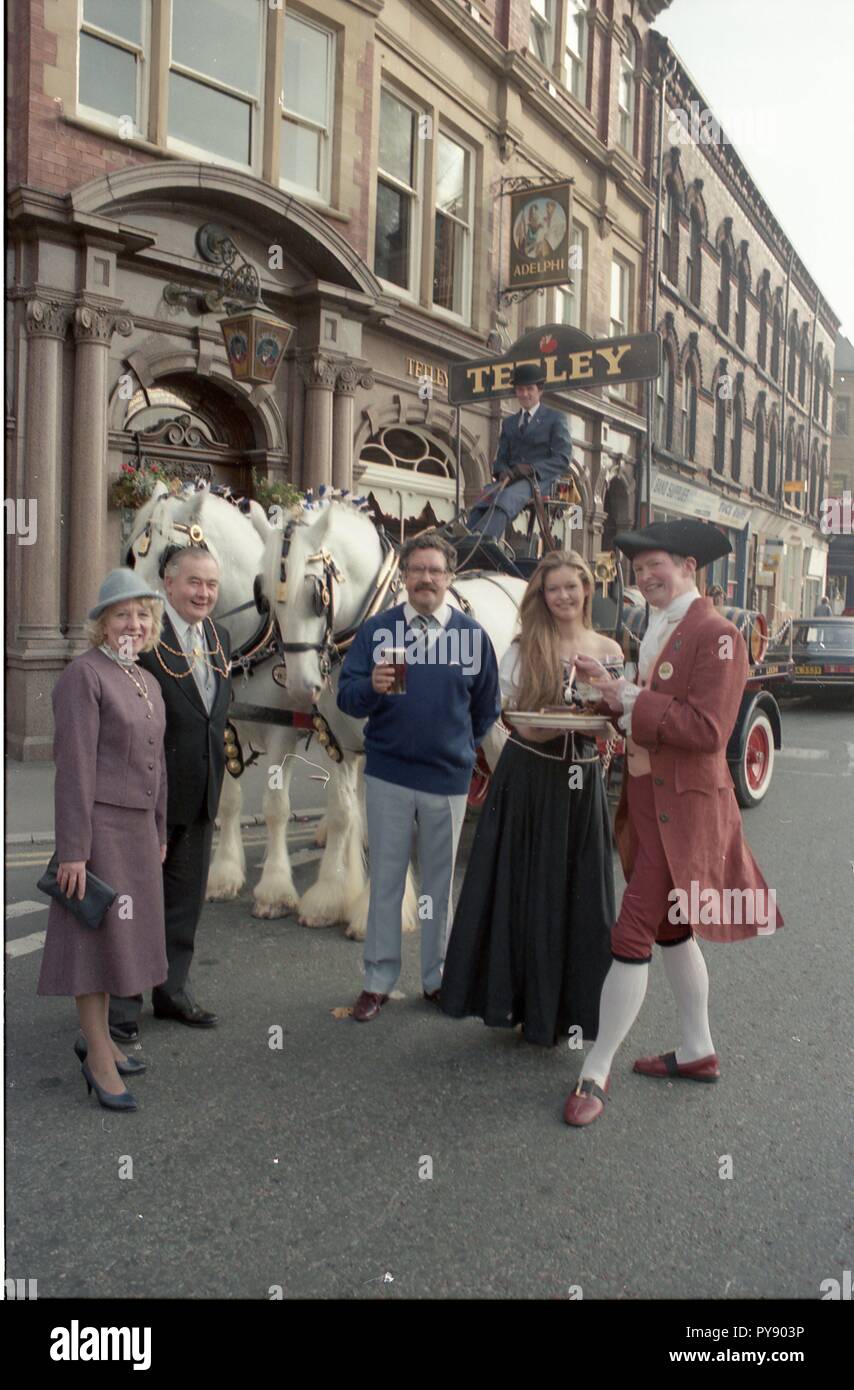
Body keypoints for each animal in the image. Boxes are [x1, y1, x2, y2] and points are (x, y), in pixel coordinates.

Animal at [124, 489, 344, 922]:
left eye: (167, 556)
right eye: (133, 557)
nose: (136, 625)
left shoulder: (281, 731)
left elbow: (275, 805)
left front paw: (274, 889)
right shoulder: (226, 724)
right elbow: (227, 802)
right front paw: (224, 874)